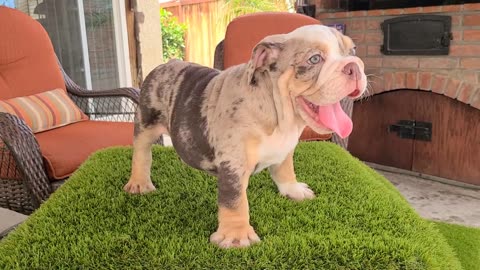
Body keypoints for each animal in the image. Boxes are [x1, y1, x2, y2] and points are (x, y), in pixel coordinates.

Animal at [124, 24, 368, 249]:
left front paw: (293, 189)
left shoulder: (286, 148)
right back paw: (139, 183)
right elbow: (235, 200)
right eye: (315, 59)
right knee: (141, 151)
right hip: (146, 120)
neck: (280, 116)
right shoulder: (234, 163)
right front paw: (236, 236)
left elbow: (285, 169)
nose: (354, 66)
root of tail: (167, 64)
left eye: (353, 50)